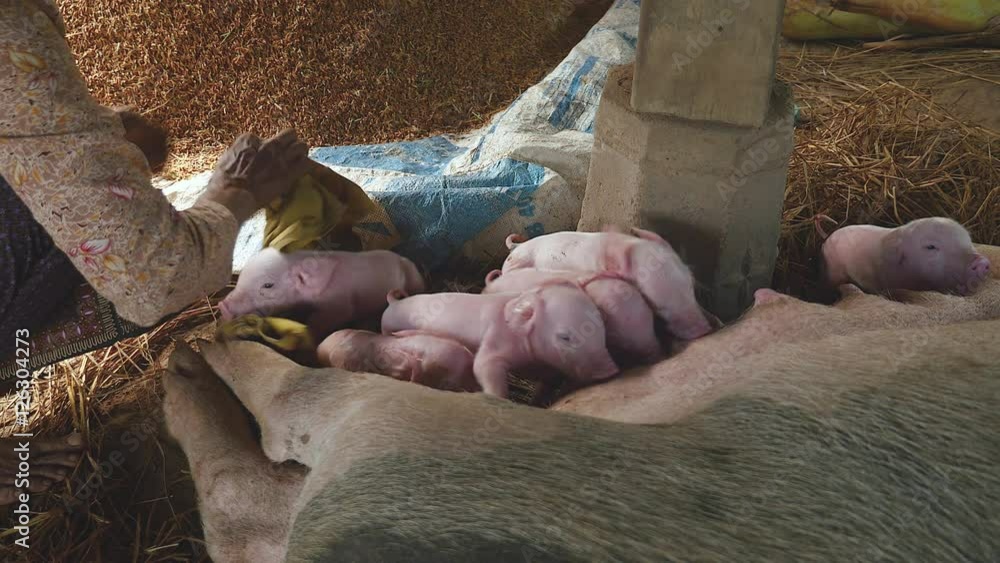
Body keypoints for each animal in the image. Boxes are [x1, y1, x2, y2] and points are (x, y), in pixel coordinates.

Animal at [218, 247, 425, 337]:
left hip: (415, 280)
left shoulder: (340, 305)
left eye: (268, 285)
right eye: (241, 277)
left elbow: (323, 319)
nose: (222, 305)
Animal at [380, 280, 619, 398]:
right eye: (565, 337)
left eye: (601, 327)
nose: (611, 370)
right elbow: (482, 366)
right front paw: (495, 397)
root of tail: (393, 303)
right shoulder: (493, 340)